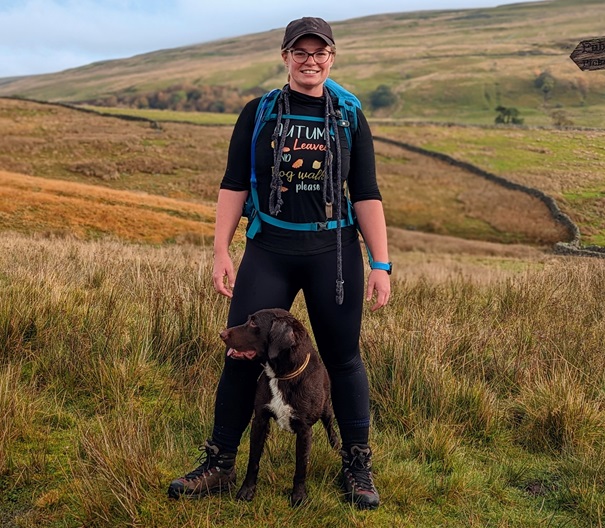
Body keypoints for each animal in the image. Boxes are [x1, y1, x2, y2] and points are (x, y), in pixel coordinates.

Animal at [219, 308, 340, 506]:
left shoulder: (304, 429)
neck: (282, 375)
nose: (222, 333)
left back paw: (337, 447)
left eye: (254, 322)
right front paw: (247, 491)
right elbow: (253, 460)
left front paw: (299, 496)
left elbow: (301, 467)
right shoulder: (259, 420)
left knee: (331, 428)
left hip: (326, 409)